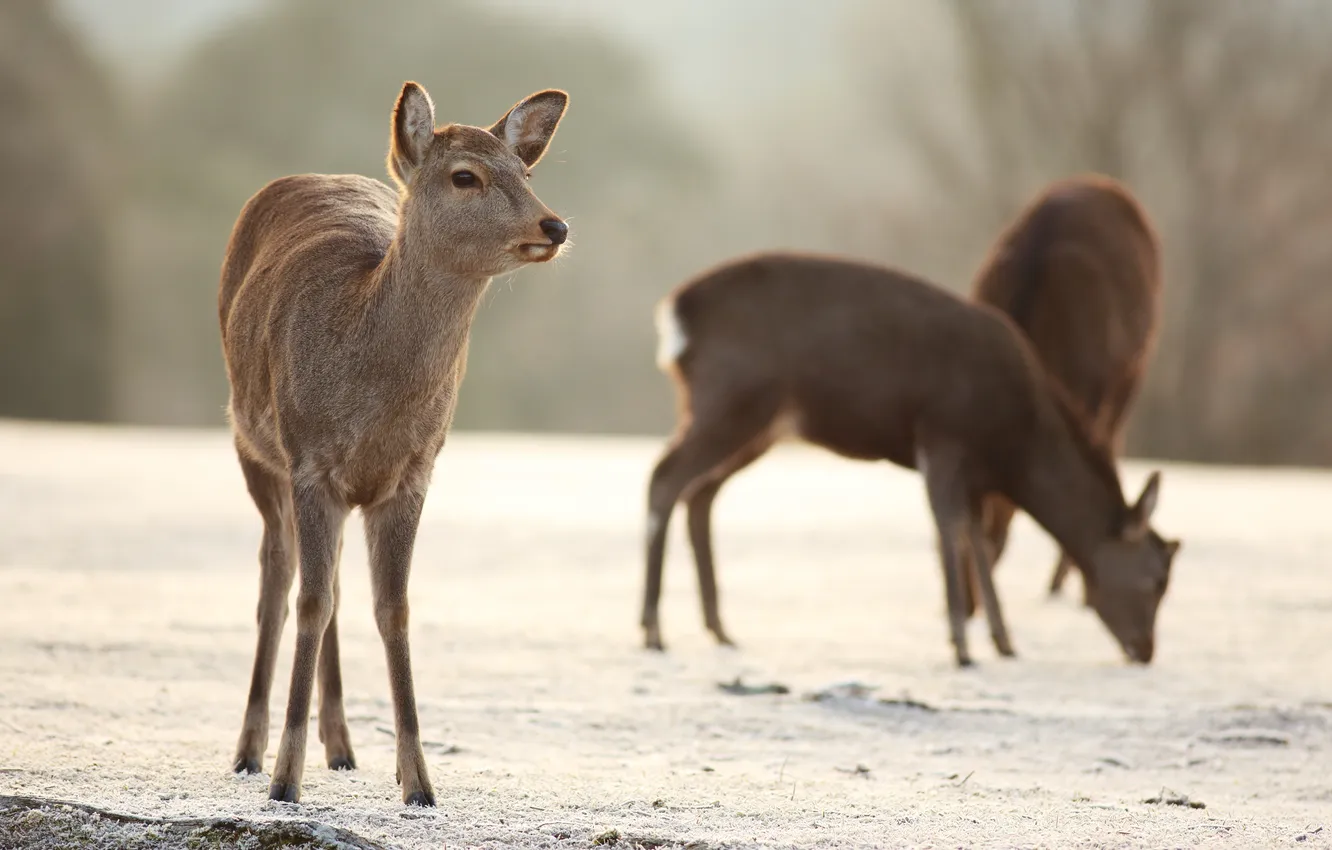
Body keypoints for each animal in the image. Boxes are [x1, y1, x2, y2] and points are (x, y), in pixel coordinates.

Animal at [219, 81, 568, 806]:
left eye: (526, 173)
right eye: (465, 176)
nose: (555, 227)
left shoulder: (414, 472)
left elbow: (394, 609)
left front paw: (419, 783)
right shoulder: (310, 462)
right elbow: (310, 602)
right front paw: (285, 781)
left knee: (330, 582)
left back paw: (342, 747)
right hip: (250, 442)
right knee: (278, 579)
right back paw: (249, 752)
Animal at [641, 252, 1181, 668]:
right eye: (1156, 579)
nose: (1146, 651)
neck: (1015, 443)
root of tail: (675, 312)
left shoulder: (973, 473)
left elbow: (975, 538)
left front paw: (1004, 642)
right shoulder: (942, 435)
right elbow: (948, 528)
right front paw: (961, 647)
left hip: (757, 423)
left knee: (700, 494)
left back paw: (718, 628)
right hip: (732, 398)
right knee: (665, 479)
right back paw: (653, 630)